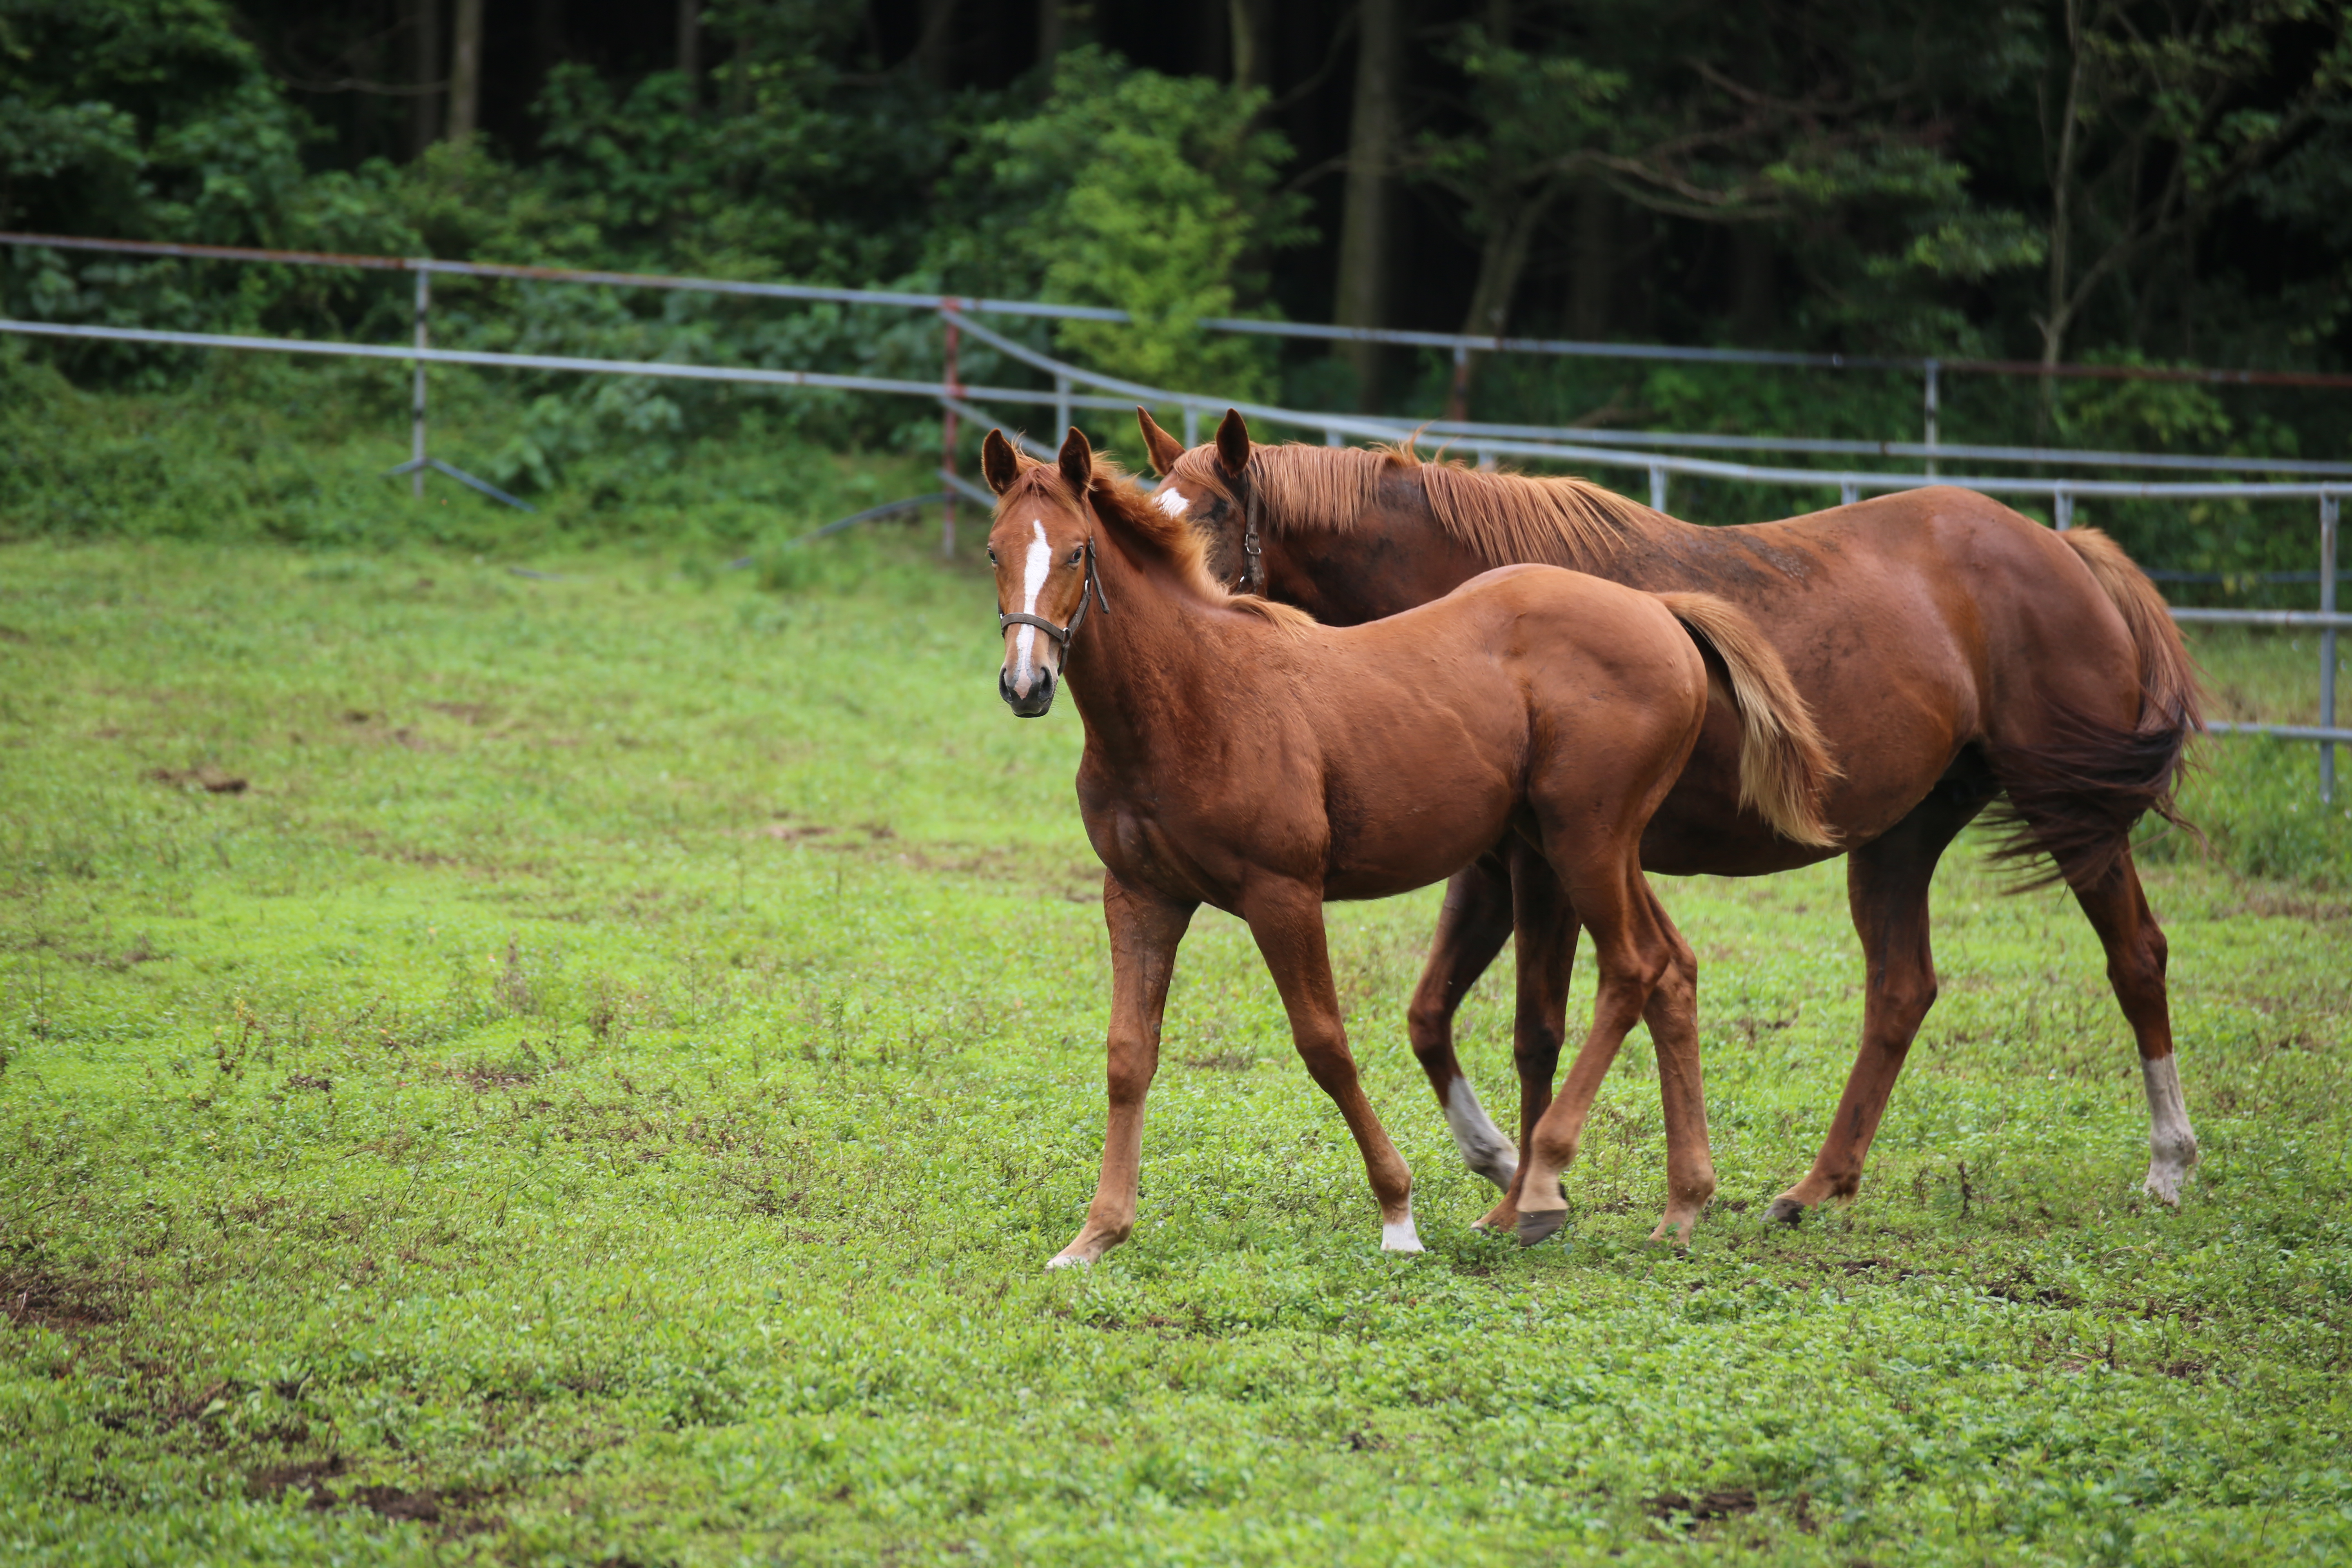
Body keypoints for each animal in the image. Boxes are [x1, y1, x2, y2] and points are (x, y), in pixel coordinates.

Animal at [978, 430, 1834, 1260]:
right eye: (994, 551)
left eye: (1077, 552)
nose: (1026, 685)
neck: (1192, 693)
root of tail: (1658, 610)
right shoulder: (1141, 895)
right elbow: (1129, 1055)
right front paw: (1096, 1234)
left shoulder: (1282, 893)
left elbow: (1325, 1046)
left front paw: (1398, 1215)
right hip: (1584, 846)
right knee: (1673, 970)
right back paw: (1681, 1204)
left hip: (1585, 841)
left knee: (1634, 968)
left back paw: (1543, 1183)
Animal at [1138, 404, 2201, 1222]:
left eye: (1211, 518)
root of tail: (2061, 547)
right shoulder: (1494, 864)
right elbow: (1430, 1015)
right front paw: (1499, 1161)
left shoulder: (1543, 865)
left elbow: (1536, 1024)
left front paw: (1530, 1184)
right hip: (1897, 839)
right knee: (1900, 991)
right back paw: (1813, 1187)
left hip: (2071, 813)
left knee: (2136, 955)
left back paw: (2168, 1161)